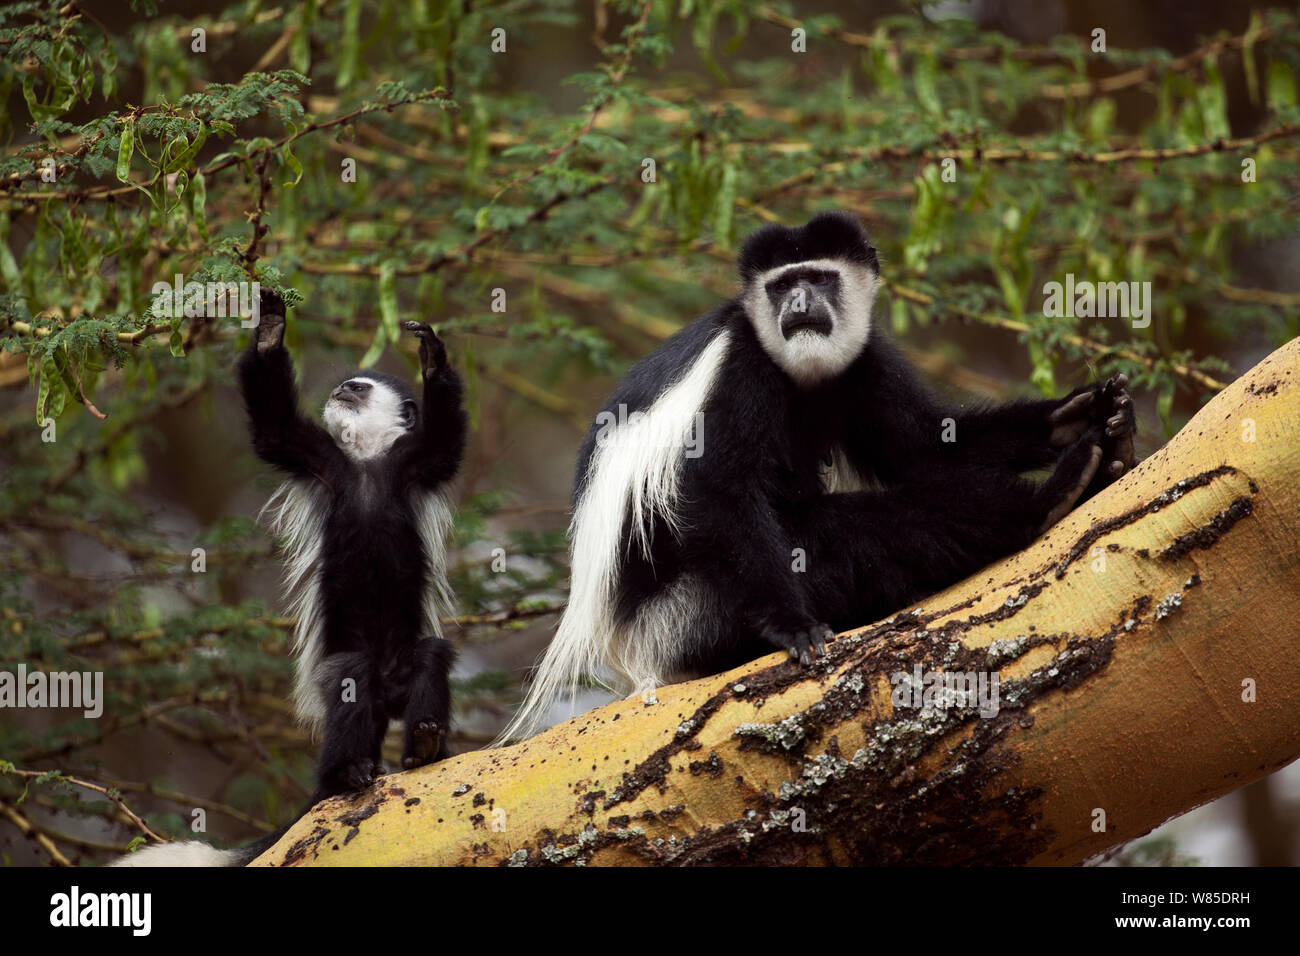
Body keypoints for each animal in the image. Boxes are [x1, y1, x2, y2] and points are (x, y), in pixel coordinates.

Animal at [501, 210, 1133, 738]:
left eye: (820, 277)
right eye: (783, 285)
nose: (800, 302)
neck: (795, 370)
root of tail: (631, 649)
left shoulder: (862, 360)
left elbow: (926, 448)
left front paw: (1079, 413)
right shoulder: (737, 370)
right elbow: (719, 490)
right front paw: (792, 628)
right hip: (688, 617)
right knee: (840, 530)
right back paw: (1055, 494)